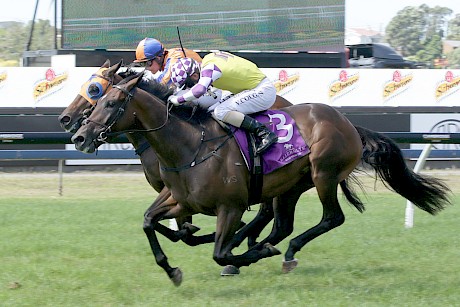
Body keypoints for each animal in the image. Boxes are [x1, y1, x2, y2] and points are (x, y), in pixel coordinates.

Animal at [70, 73, 452, 288]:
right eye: (98, 97)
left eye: (111, 101)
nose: (79, 135)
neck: (189, 145)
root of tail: (346, 121)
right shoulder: (180, 199)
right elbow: (150, 222)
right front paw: (172, 269)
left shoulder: (231, 205)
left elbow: (219, 252)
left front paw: (242, 255)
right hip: (290, 186)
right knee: (281, 224)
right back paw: (268, 247)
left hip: (322, 173)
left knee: (331, 218)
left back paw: (282, 251)